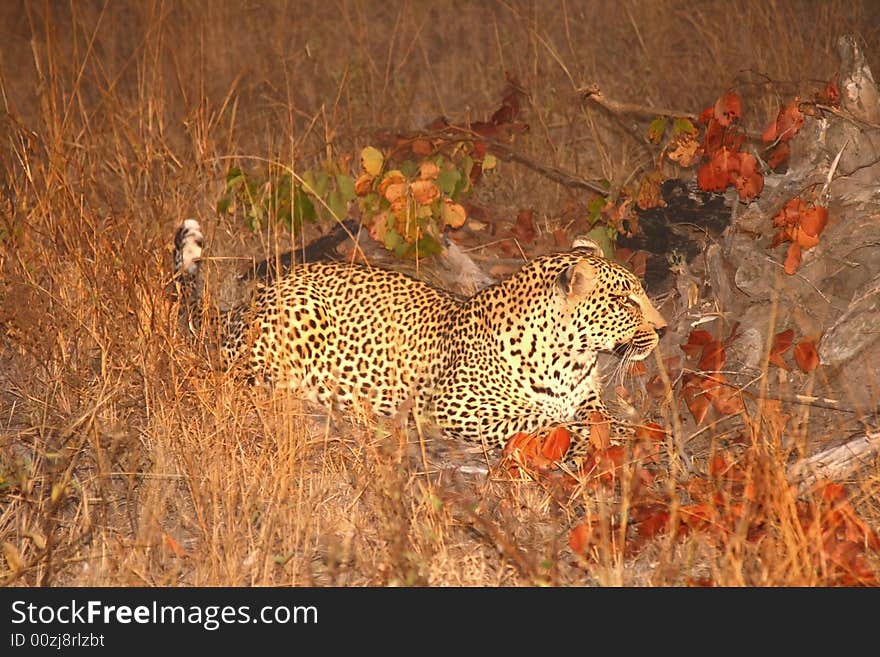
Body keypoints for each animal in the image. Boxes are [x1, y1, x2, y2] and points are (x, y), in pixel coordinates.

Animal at [172, 220, 668, 456]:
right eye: (625, 300)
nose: (663, 329)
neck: (571, 360)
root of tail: (247, 301)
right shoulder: (453, 406)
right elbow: (540, 420)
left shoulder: (587, 398)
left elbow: (598, 417)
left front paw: (635, 429)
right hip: (292, 325)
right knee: (247, 380)